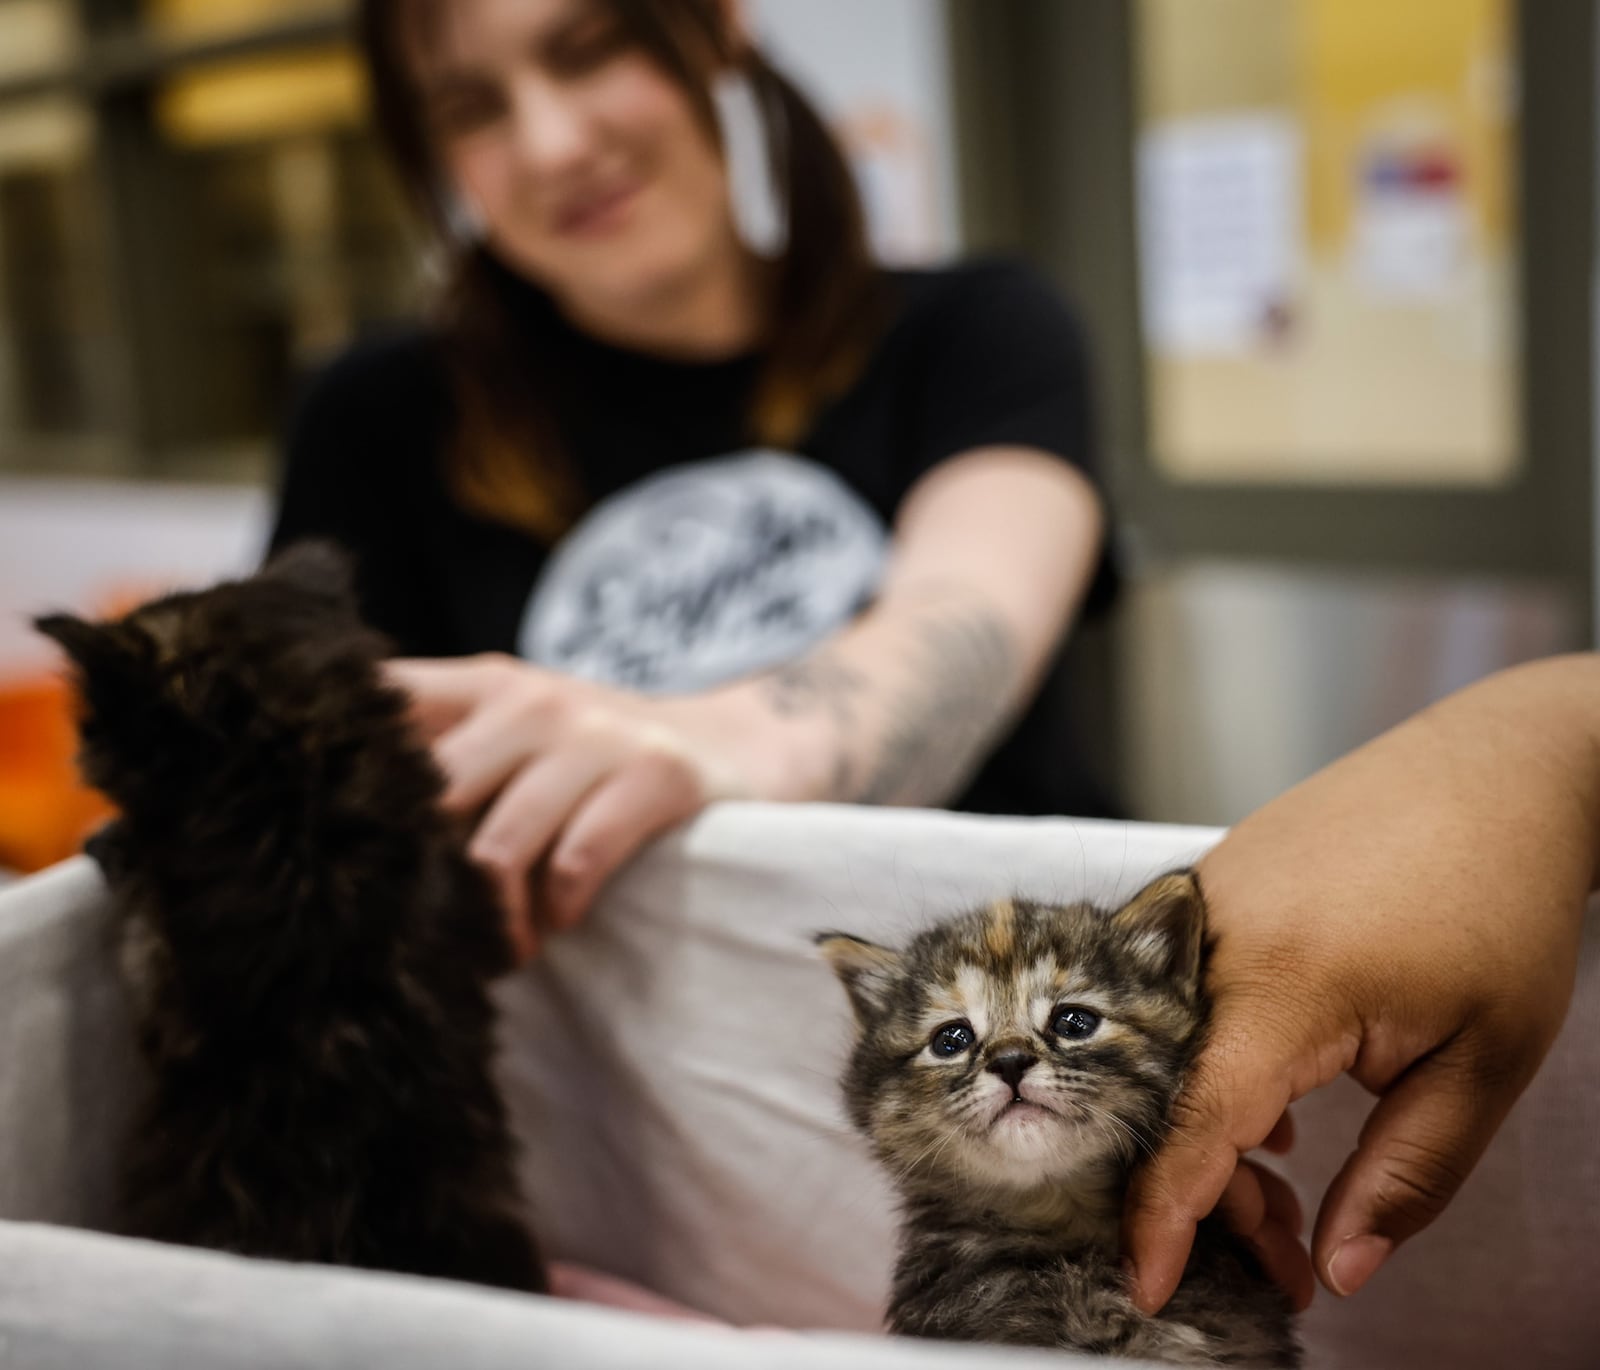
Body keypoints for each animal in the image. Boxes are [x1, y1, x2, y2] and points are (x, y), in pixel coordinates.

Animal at [37, 540, 547, 1286]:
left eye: (94, 725)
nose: (78, 742)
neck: (308, 772)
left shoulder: (177, 975)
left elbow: (146, 923)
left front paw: (118, 843)